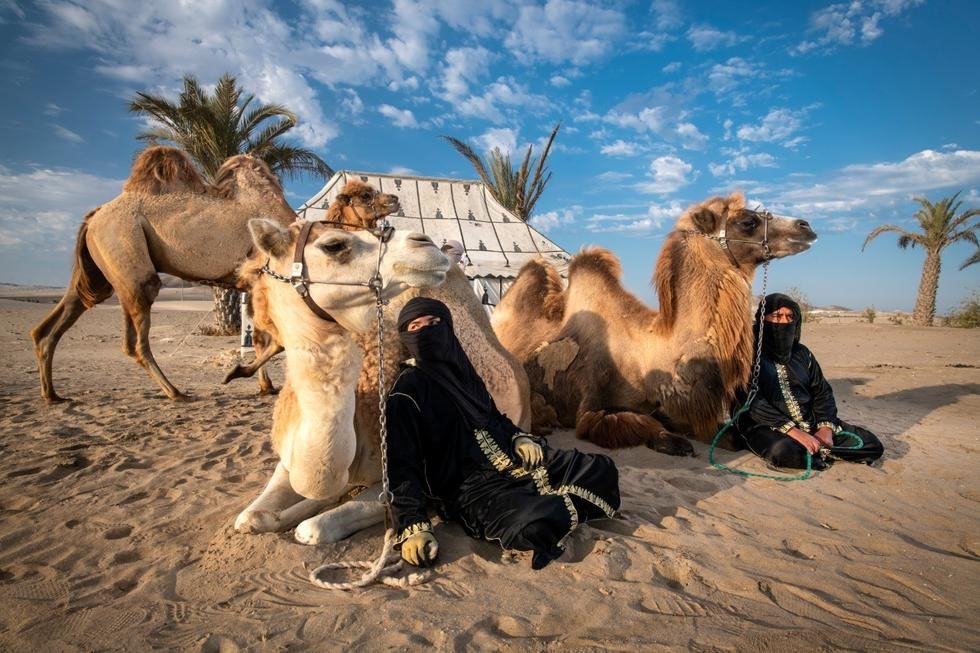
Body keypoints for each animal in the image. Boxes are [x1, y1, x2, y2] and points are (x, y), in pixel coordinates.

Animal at [32, 146, 298, 402]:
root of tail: (93, 217)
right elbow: (277, 340)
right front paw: (237, 375)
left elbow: (262, 338)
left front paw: (265, 386)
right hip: (128, 257)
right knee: (135, 338)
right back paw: (176, 392)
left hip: (98, 274)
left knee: (56, 321)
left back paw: (52, 395)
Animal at [491, 192, 817, 454]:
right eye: (747, 221)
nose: (806, 226)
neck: (648, 352)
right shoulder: (590, 410)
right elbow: (645, 426)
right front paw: (671, 441)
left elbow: (726, 435)